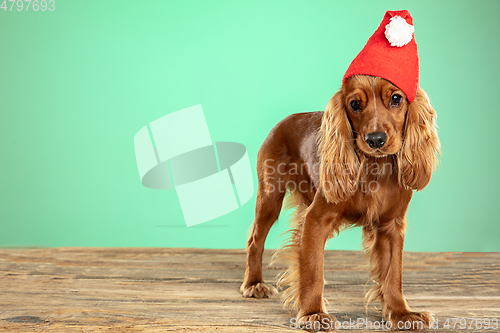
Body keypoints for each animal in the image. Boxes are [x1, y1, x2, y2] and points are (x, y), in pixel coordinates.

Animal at [240, 75, 440, 330]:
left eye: (396, 98)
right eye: (354, 104)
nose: (375, 139)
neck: (375, 168)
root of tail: (286, 120)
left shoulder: (392, 225)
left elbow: (393, 273)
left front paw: (401, 313)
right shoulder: (316, 219)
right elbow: (313, 270)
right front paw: (313, 313)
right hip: (270, 197)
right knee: (255, 240)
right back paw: (253, 283)